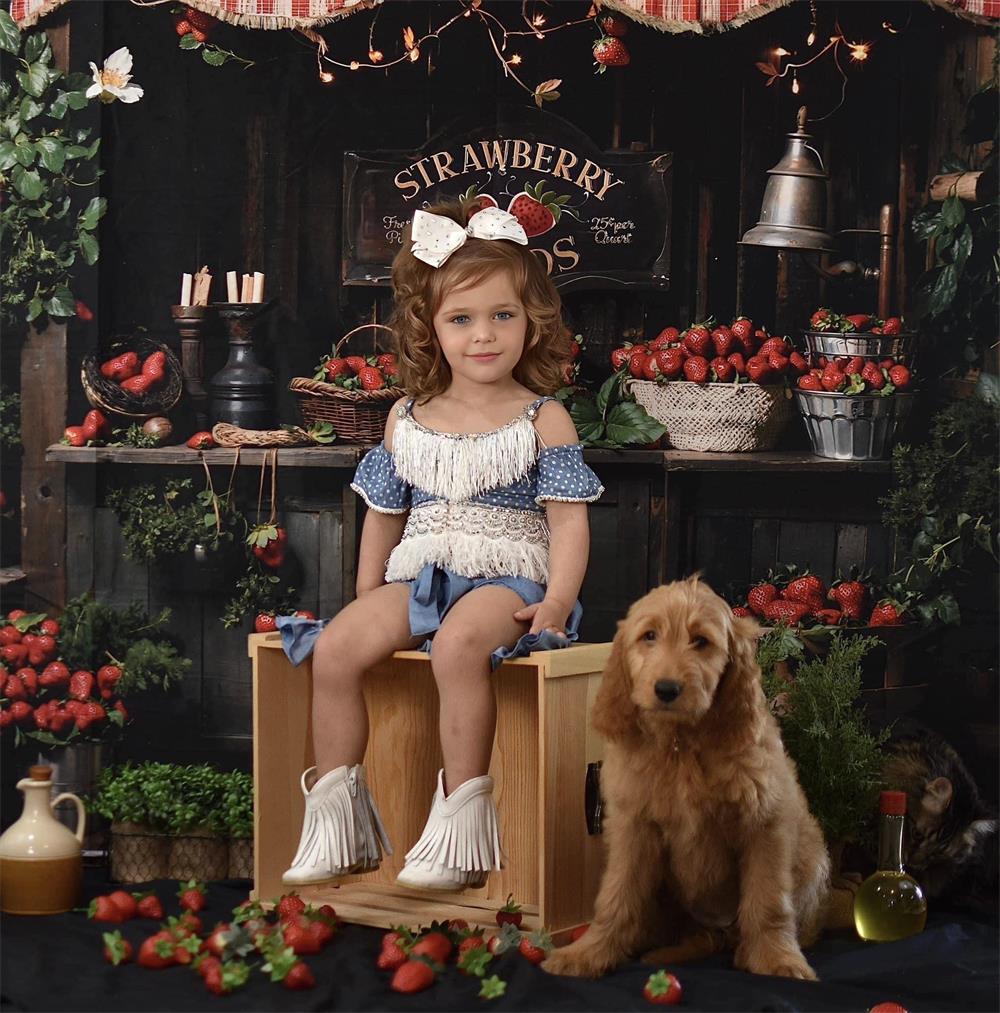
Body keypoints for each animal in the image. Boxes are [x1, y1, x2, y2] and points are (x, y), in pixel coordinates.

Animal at [543, 579, 834, 980]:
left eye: (701, 641)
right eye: (649, 636)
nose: (666, 689)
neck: (681, 743)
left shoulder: (764, 824)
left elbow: (768, 901)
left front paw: (777, 959)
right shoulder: (634, 827)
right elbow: (616, 897)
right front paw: (589, 953)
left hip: (812, 857)